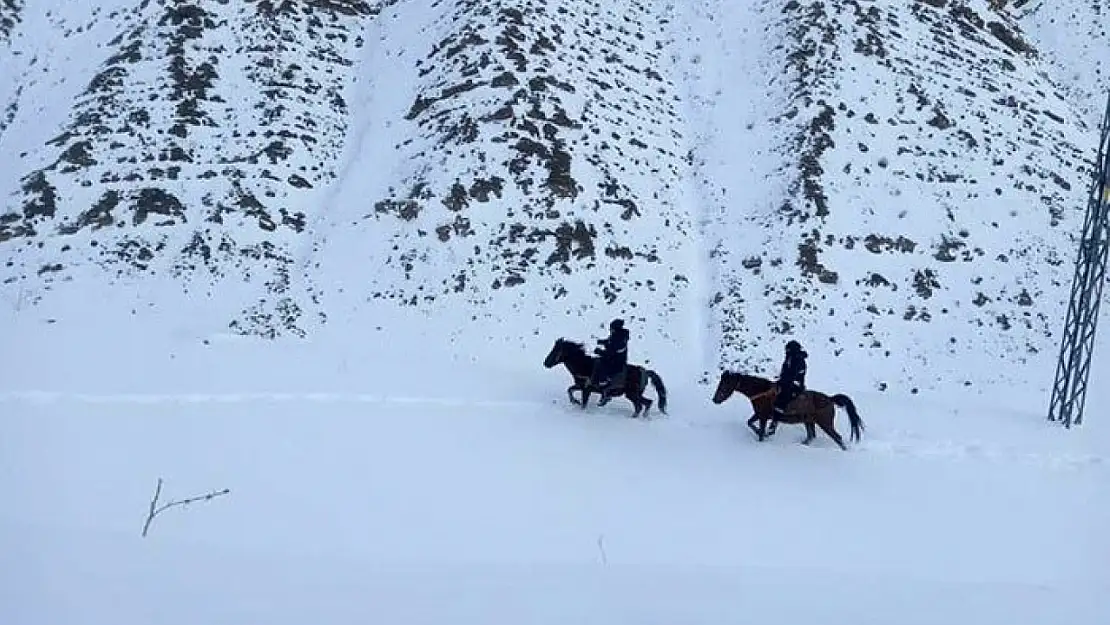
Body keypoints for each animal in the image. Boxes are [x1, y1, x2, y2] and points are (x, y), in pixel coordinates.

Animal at [714, 370, 861, 450]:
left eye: (724, 384)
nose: (715, 399)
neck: (761, 392)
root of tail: (830, 399)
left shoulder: (763, 416)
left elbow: (759, 430)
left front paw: (763, 436)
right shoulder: (760, 414)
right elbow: (750, 423)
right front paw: (765, 433)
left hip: (825, 423)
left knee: (837, 438)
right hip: (809, 421)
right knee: (811, 436)